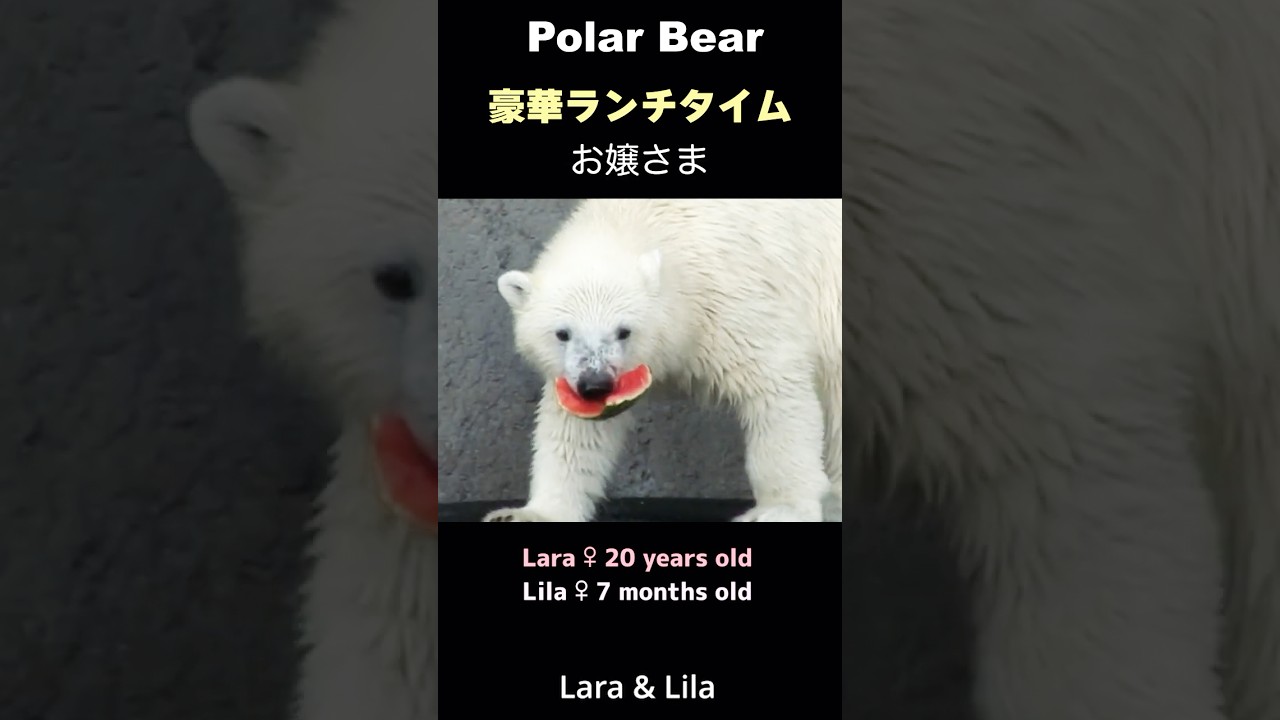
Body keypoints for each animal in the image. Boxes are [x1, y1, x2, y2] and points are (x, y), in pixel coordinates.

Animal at [483, 198, 842, 523]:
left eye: (624, 331)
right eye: (562, 333)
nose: (596, 384)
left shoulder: (732, 300)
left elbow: (775, 389)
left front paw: (781, 510)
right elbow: (575, 432)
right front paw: (524, 514)